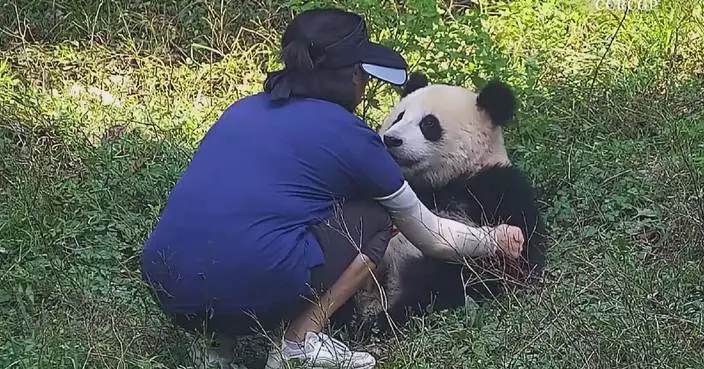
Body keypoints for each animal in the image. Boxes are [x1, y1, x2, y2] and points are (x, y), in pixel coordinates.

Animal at [350, 71, 548, 330]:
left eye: (428, 124)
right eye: (399, 117)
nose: (391, 139)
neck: (443, 180)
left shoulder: (496, 188)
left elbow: (515, 256)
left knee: (436, 283)